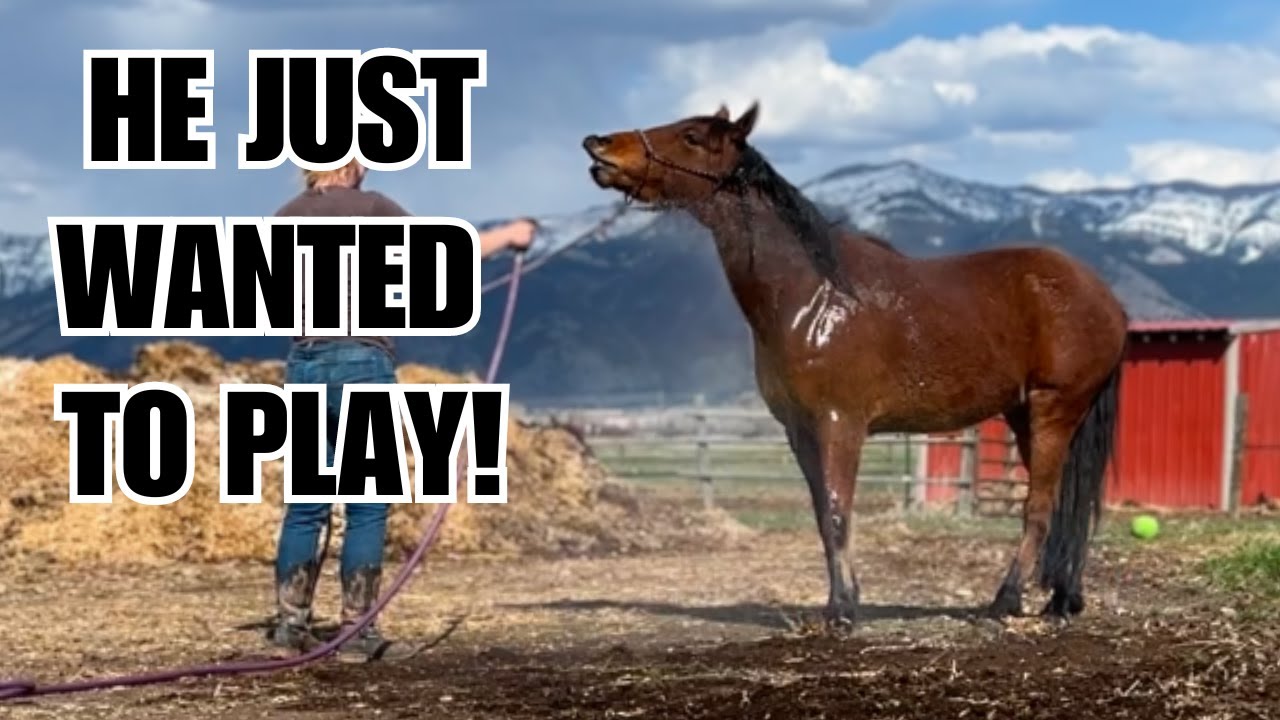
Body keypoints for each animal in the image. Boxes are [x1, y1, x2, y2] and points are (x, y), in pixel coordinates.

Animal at [581, 102, 1128, 626]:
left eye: (692, 136)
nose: (598, 144)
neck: (812, 294)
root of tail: (1107, 300)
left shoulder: (840, 422)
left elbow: (840, 510)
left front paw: (843, 611)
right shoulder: (800, 429)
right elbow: (824, 516)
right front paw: (842, 600)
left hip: (1053, 410)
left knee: (1041, 508)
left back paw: (1007, 600)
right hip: (1024, 415)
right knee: (1069, 506)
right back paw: (1062, 599)